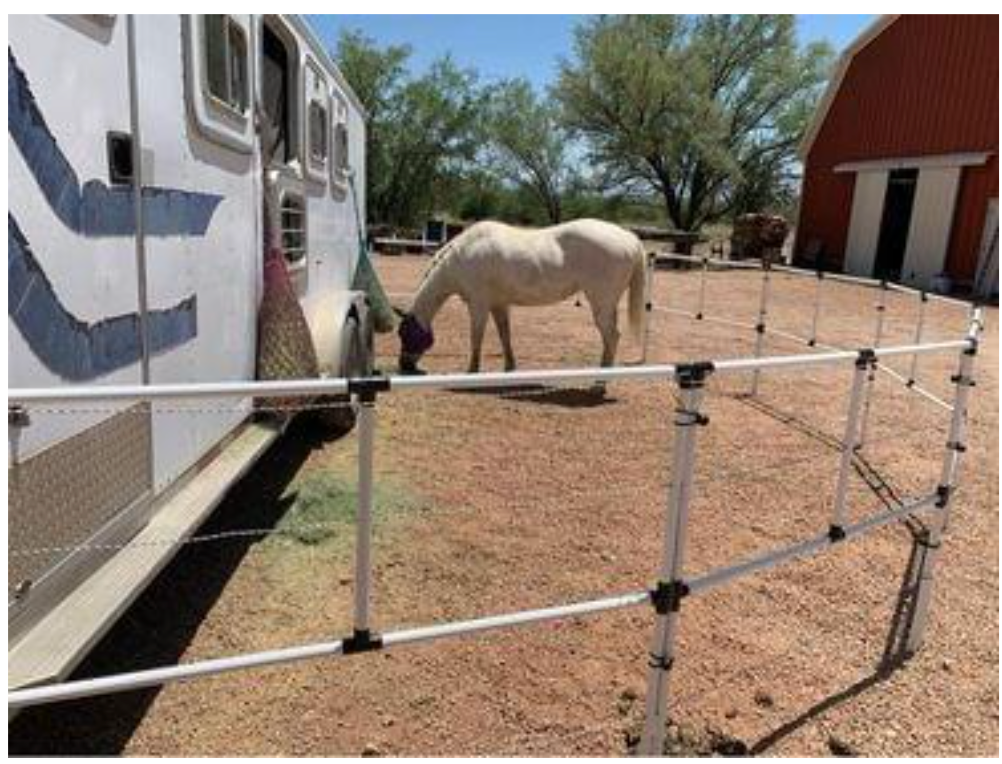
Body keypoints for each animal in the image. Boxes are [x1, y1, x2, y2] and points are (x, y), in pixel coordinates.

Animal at [396, 219, 647, 374]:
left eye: (405, 333)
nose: (405, 366)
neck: (461, 256)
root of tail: (630, 238)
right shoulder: (498, 304)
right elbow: (504, 335)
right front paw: (510, 367)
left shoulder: (478, 304)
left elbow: (476, 338)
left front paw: (472, 370)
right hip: (608, 306)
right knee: (609, 338)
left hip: (601, 304)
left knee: (612, 337)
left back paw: (600, 380)